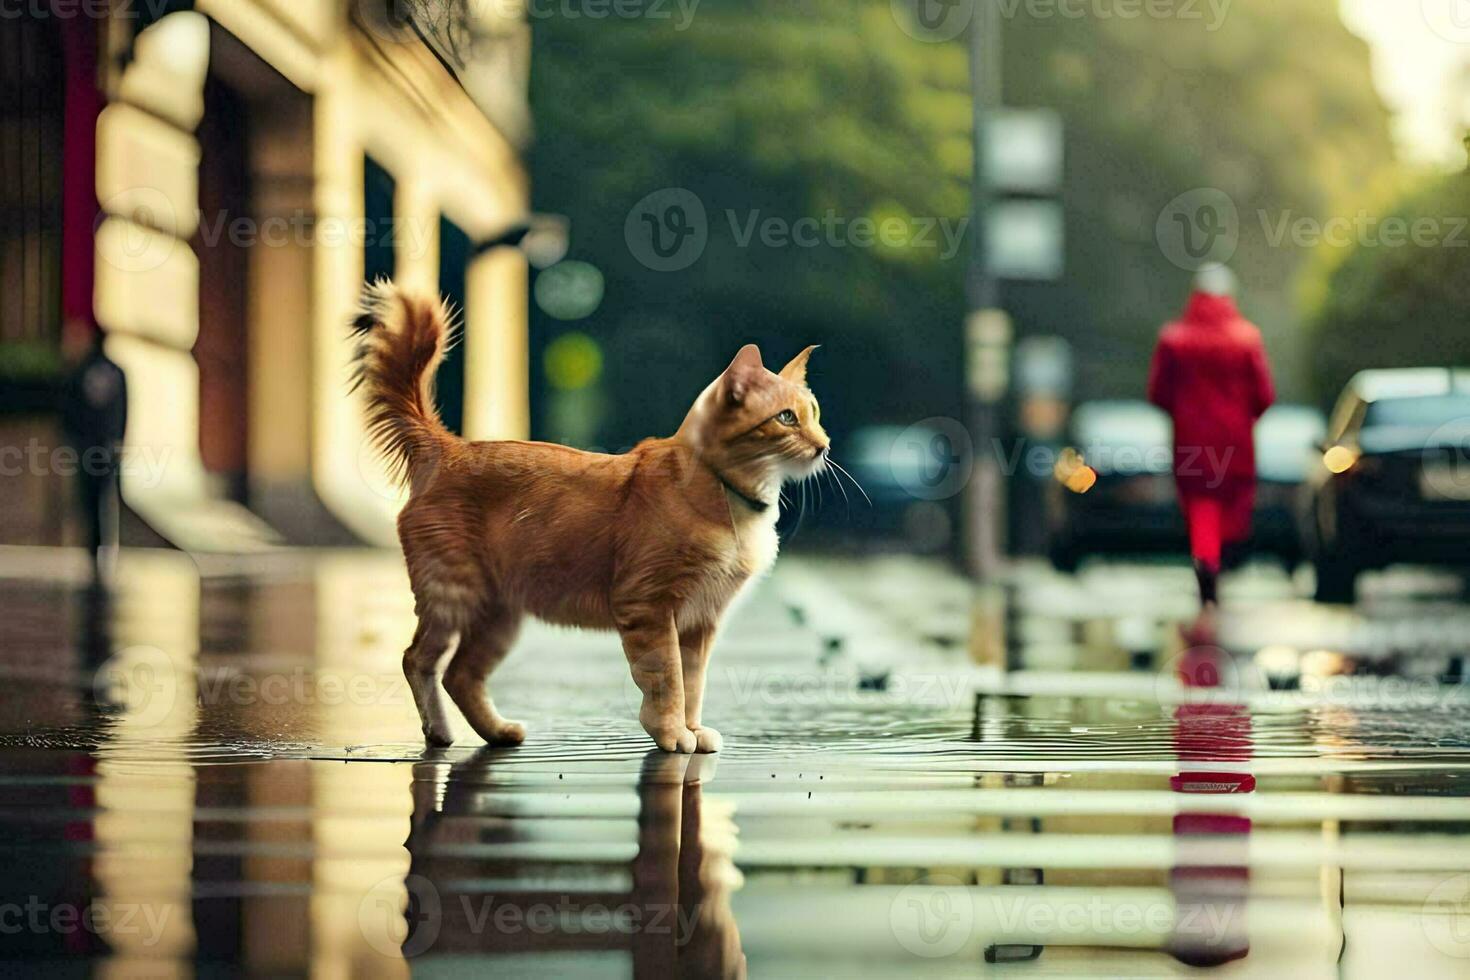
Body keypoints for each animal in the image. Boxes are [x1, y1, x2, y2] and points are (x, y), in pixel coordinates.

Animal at [346, 279, 829, 758]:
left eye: (815, 415)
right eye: (786, 418)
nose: (824, 445)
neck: (728, 497)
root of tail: (449, 446)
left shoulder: (699, 621)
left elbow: (693, 683)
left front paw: (691, 728)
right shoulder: (649, 606)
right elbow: (668, 678)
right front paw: (671, 733)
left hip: (499, 614)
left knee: (459, 674)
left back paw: (497, 732)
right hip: (454, 592)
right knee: (418, 660)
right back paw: (439, 733)